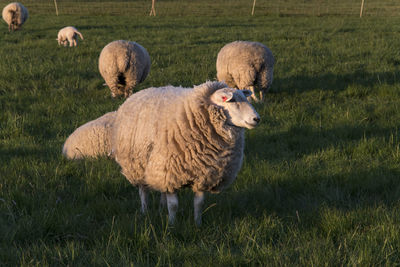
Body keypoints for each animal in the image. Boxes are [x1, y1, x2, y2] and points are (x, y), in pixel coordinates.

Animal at [111, 81, 260, 226]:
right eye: (231, 100)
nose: (256, 119)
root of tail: (137, 94)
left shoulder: (203, 175)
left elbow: (199, 204)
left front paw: (198, 224)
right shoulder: (170, 172)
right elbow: (173, 205)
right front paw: (172, 225)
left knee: (160, 191)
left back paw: (161, 208)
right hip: (137, 165)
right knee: (143, 191)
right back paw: (145, 211)